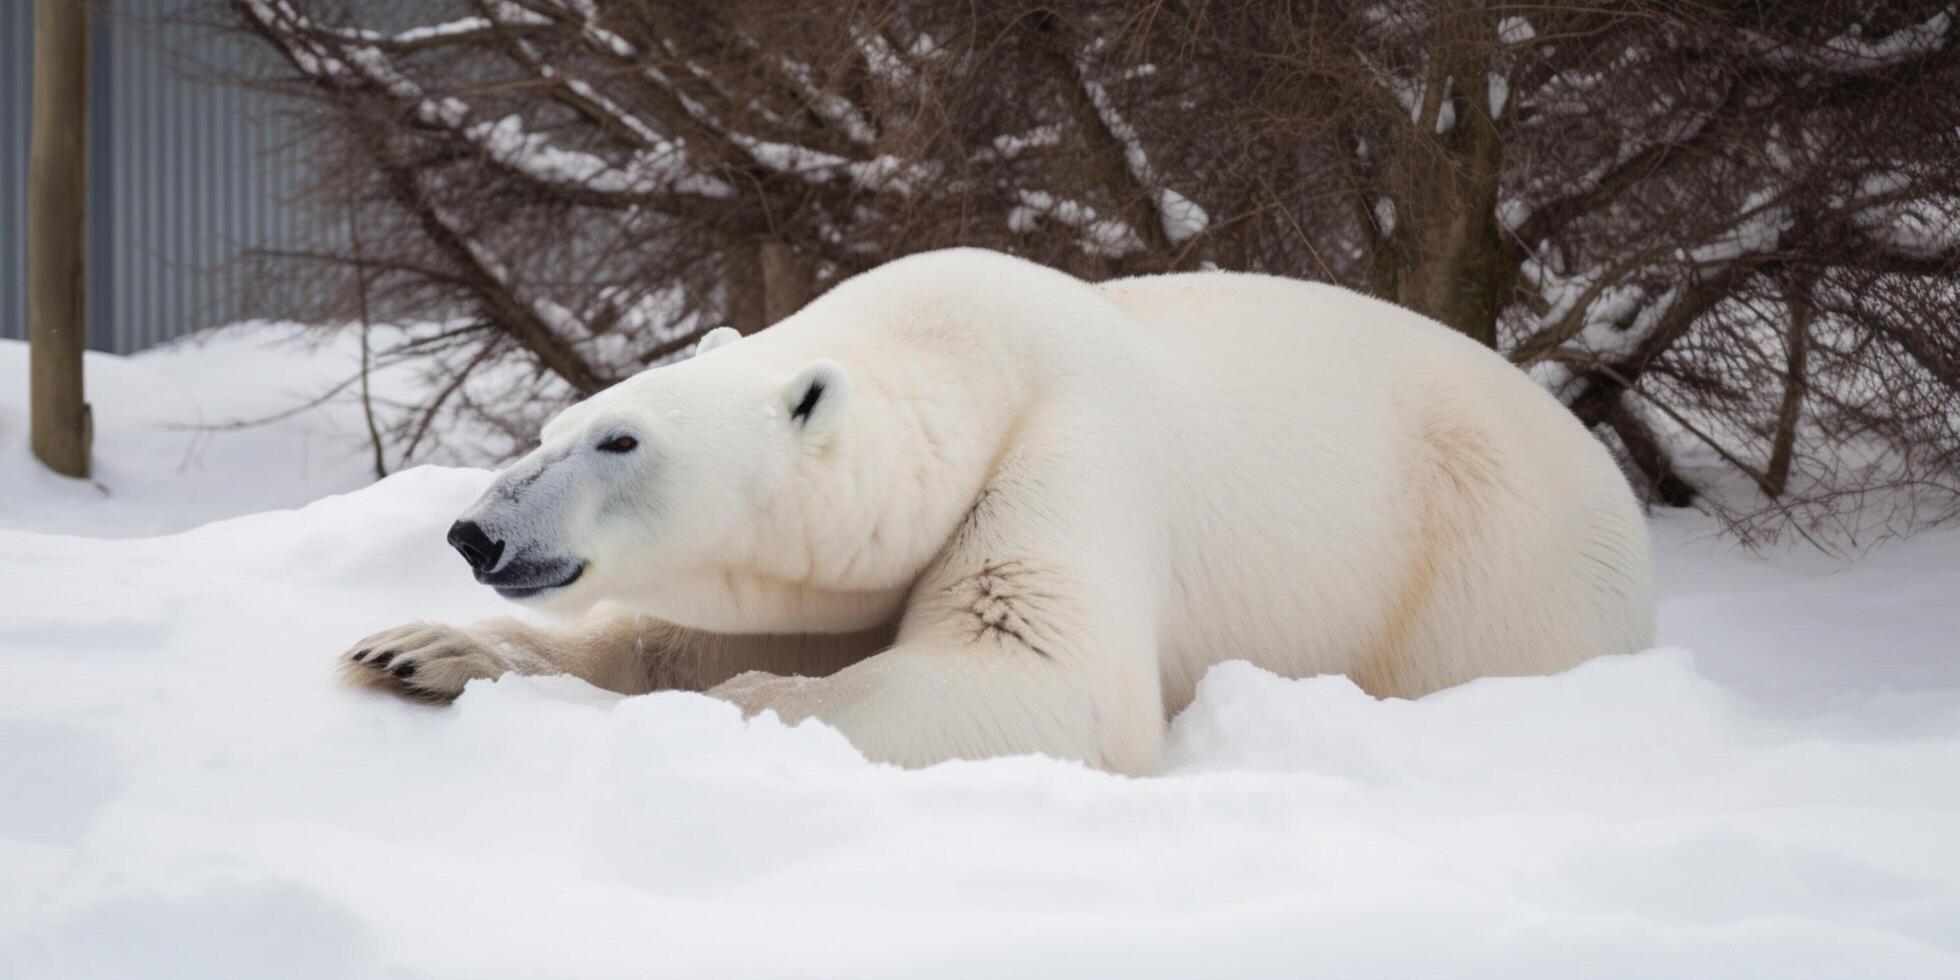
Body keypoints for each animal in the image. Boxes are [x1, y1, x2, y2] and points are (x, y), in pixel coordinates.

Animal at [341, 248, 1654, 776]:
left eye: (620, 439)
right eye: (558, 424)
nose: (476, 531)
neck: (972, 353)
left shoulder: (1070, 450)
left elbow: (1037, 667)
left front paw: (744, 707)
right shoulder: (856, 561)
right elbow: (694, 632)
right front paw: (412, 648)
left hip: (1493, 559)